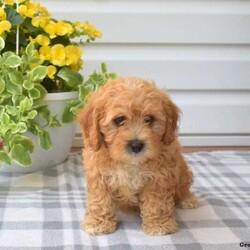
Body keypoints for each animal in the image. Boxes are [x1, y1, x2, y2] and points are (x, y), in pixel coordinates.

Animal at [77, 77, 198, 235]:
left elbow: (156, 203)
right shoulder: (98, 175)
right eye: (119, 119)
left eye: (149, 119)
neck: (130, 163)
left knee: (183, 187)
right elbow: (100, 200)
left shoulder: (158, 178)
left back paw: (188, 199)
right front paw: (98, 223)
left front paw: (159, 226)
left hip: (182, 172)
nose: (136, 145)